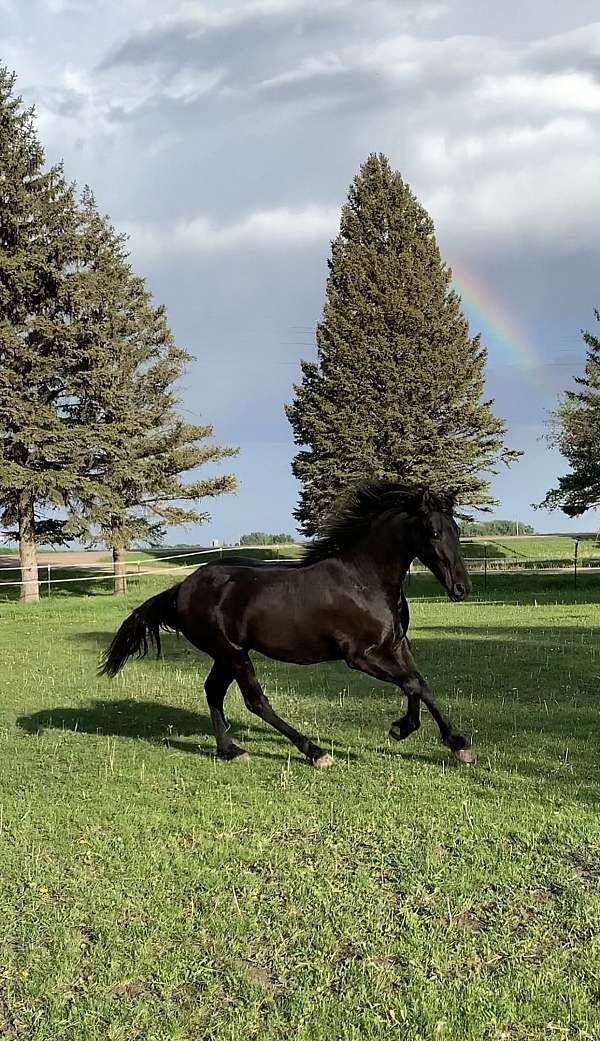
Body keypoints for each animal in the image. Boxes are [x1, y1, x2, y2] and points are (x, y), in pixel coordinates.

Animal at [102, 483, 472, 770]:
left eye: (456, 530)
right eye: (434, 532)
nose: (461, 588)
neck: (364, 580)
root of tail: (182, 587)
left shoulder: (396, 644)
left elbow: (420, 684)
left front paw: (444, 740)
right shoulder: (360, 656)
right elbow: (412, 683)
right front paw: (416, 732)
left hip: (228, 654)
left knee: (214, 691)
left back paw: (230, 750)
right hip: (233, 654)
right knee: (256, 701)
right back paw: (316, 753)